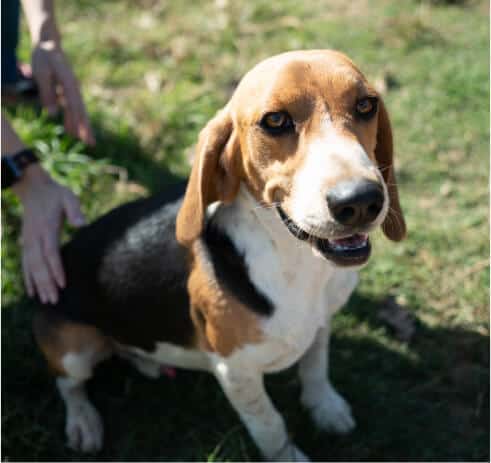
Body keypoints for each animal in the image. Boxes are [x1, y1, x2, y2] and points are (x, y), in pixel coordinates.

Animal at [33, 49, 404, 462]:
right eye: (275, 120)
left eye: (366, 105)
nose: (360, 201)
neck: (297, 263)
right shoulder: (236, 371)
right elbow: (270, 424)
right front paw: (288, 455)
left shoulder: (322, 322)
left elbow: (315, 366)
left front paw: (325, 407)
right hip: (74, 350)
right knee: (69, 384)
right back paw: (83, 421)